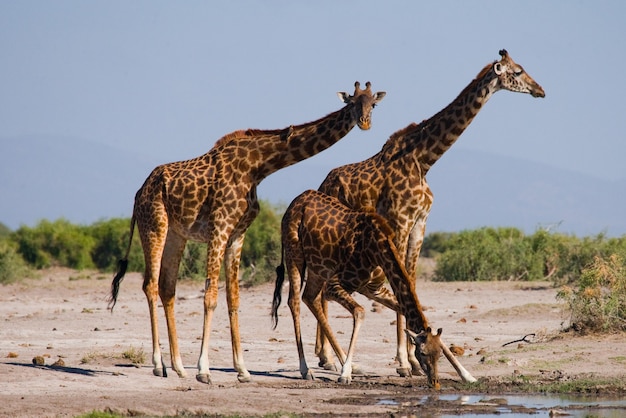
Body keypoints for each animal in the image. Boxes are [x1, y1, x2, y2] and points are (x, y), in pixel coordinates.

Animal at [109, 80, 382, 384]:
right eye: (353, 102)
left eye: (374, 103)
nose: (365, 122)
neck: (258, 167)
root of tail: (139, 192)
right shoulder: (219, 227)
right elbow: (210, 296)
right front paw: (204, 370)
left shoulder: (237, 233)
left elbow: (234, 298)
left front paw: (242, 369)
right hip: (154, 226)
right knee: (150, 285)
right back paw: (159, 365)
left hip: (176, 235)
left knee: (168, 288)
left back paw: (178, 366)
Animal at [270, 189, 470, 388]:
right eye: (422, 353)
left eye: (439, 354)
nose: (435, 383)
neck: (377, 248)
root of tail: (294, 203)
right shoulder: (335, 284)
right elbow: (360, 312)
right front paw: (345, 374)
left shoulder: (374, 289)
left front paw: (467, 375)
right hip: (294, 252)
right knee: (295, 301)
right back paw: (307, 370)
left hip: (317, 267)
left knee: (309, 297)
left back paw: (349, 365)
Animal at [314, 48, 544, 376]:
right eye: (518, 72)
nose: (541, 90)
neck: (424, 160)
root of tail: (323, 183)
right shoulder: (399, 221)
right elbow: (400, 280)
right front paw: (403, 362)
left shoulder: (420, 224)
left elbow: (410, 279)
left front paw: (411, 359)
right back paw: (330, 358)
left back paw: (325, 356)